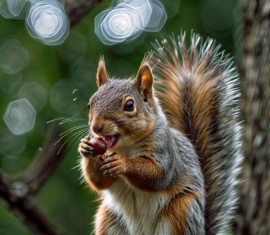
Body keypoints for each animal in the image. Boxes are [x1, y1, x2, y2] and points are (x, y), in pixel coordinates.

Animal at [78, 33, 243, 235]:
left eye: (129, 105)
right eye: (90, 104)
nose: (96, 127)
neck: (125, 147)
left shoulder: (165, 151)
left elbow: (157, 174)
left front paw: (123, 163)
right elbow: (100, 181)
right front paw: (85, 148)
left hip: (182, 210)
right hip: (109, 219)